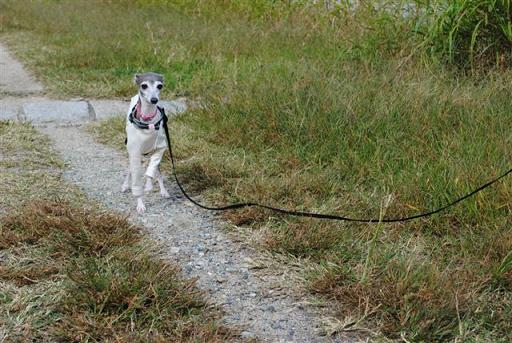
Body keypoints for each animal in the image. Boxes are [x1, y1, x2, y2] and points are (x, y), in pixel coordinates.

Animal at [121, 72, 170, 212]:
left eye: (160, 86)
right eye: (144, 85)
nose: (154, 100)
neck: (148, 122)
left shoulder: (159, 150)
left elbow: (151, 172)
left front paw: (149, 186)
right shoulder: (134, 152)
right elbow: (136, 181)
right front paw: (140, 204)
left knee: (157, 172)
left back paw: (163, 191)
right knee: (130, 170)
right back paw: (125, 185)